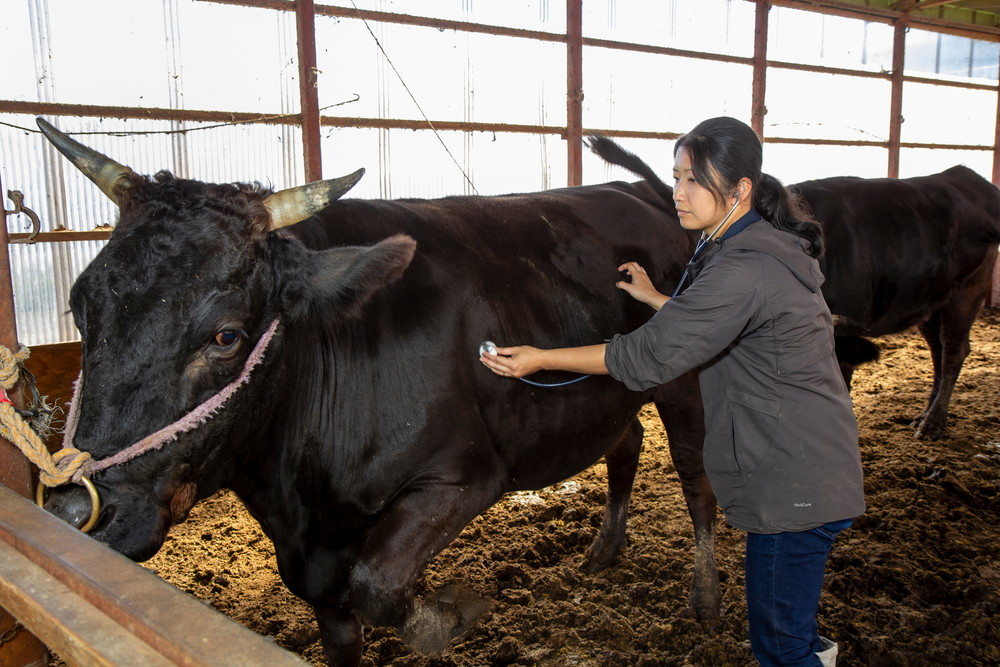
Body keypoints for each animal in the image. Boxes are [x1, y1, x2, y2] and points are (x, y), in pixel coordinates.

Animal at [588, 136, 1000, 440]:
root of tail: (967, 177)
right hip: (932, 300)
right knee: (939, 349)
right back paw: (927, 412)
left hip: (968, 290)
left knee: (954, 350)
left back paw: (933, 421)